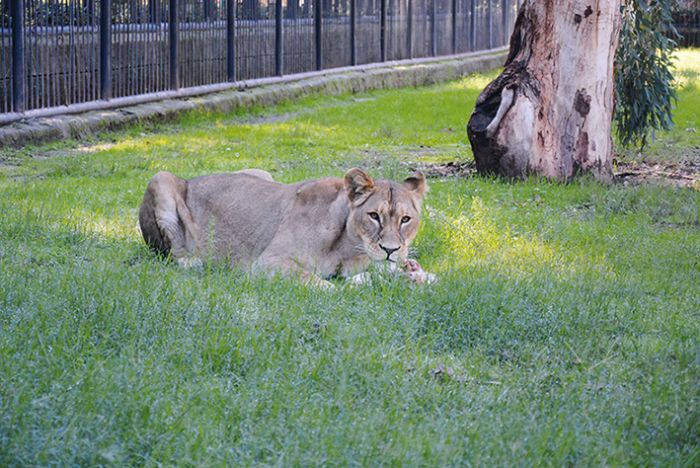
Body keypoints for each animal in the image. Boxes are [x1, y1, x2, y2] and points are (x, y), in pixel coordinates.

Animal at [139, 168, 434, 286]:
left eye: (405, 219)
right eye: (374, 216)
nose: (390, 250)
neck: (347, 246)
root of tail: (190, 178)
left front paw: (415, 273)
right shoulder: (266, 262)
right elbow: (317, 282)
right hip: (160, 178)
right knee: (170, 253)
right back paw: (196, 262)